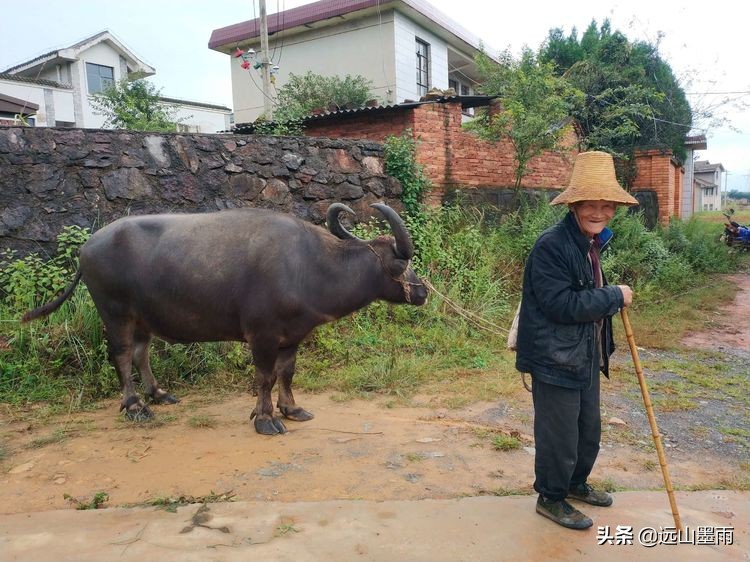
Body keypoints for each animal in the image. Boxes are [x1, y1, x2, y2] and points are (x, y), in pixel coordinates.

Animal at [22, 201, 428, 434]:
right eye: (399, 264)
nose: (422, 292)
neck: (310, 265)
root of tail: (87, 246)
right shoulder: (262, 335)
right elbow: (264, 377)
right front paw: (265, 419)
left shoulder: (293, 336)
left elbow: (287, 373)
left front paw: (291, 409)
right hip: (115, 312)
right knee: (121, 356)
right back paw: (135, 406)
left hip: (143, 318)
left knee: (141, 353)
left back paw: (158, 394)